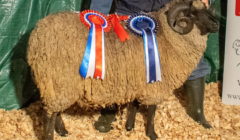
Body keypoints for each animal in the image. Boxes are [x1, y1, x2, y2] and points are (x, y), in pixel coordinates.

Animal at [26, 0, 219, 139]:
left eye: (207, 10)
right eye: (192, 14)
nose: (217, 25)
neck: (168, 36)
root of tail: (36, 36)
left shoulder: (139, 80)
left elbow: (134, 105)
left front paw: (129, 127)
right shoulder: (155, 84)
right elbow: (152, 111)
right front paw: (152, 134)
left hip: (57, 84)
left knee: (55, 111)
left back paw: (62, 131)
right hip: (58, 80)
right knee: (49, 114)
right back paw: (51, 135)